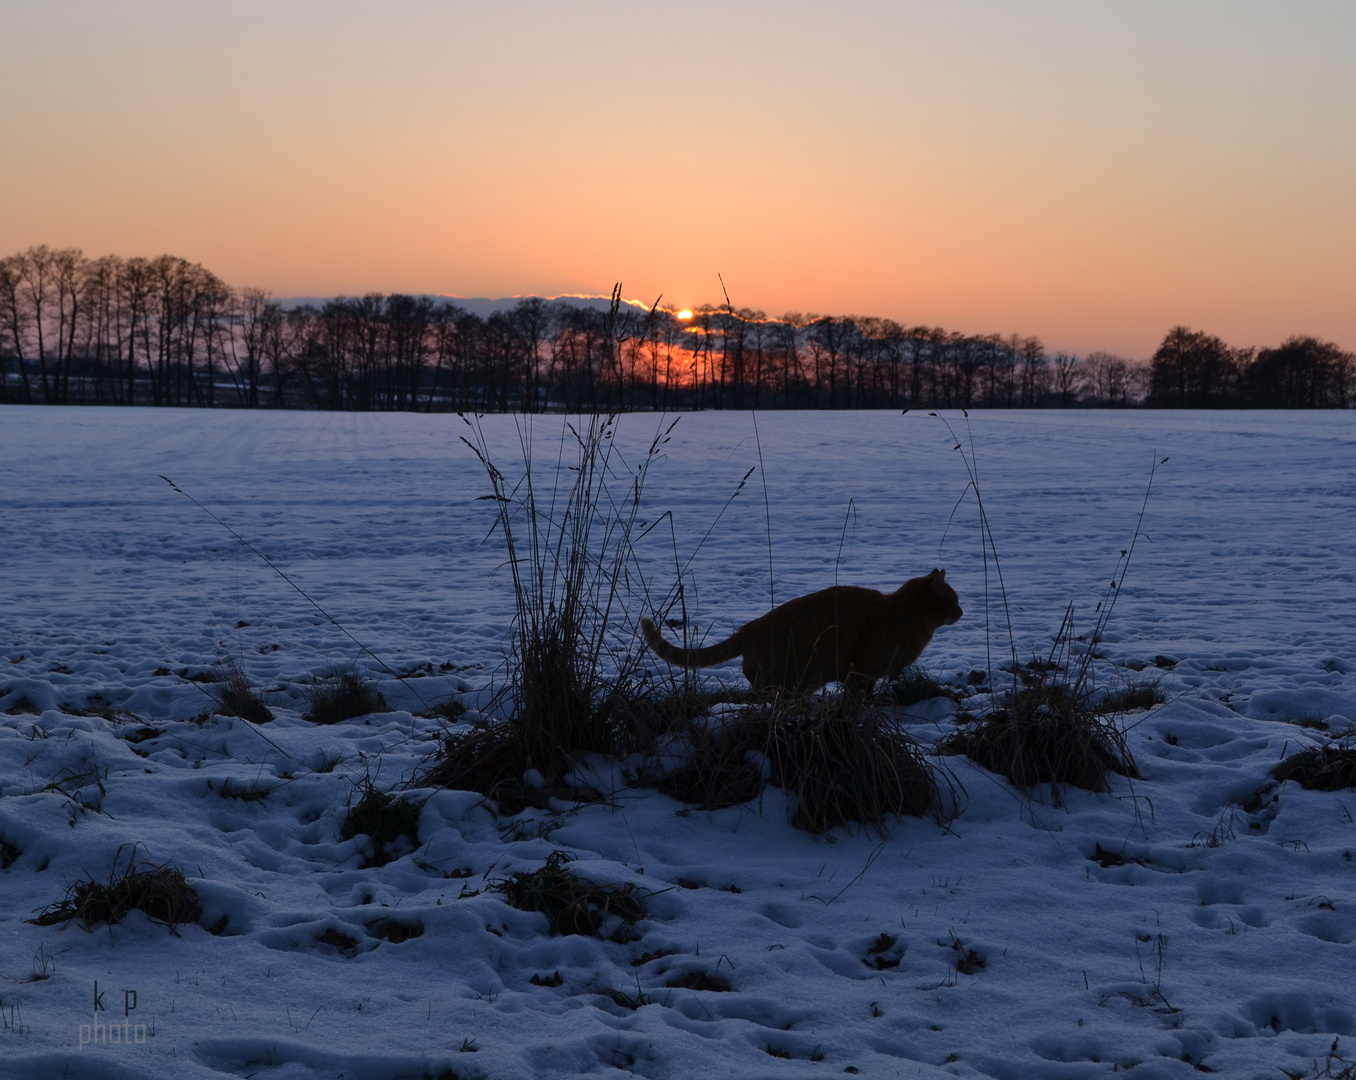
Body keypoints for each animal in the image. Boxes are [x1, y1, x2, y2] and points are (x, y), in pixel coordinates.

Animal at [637, 569, 965, 694]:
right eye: (953, 600)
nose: (962, 612)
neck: (903, 614)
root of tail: (749, 626)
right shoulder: (860, 673)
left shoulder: (865, 676)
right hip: (785, 680)